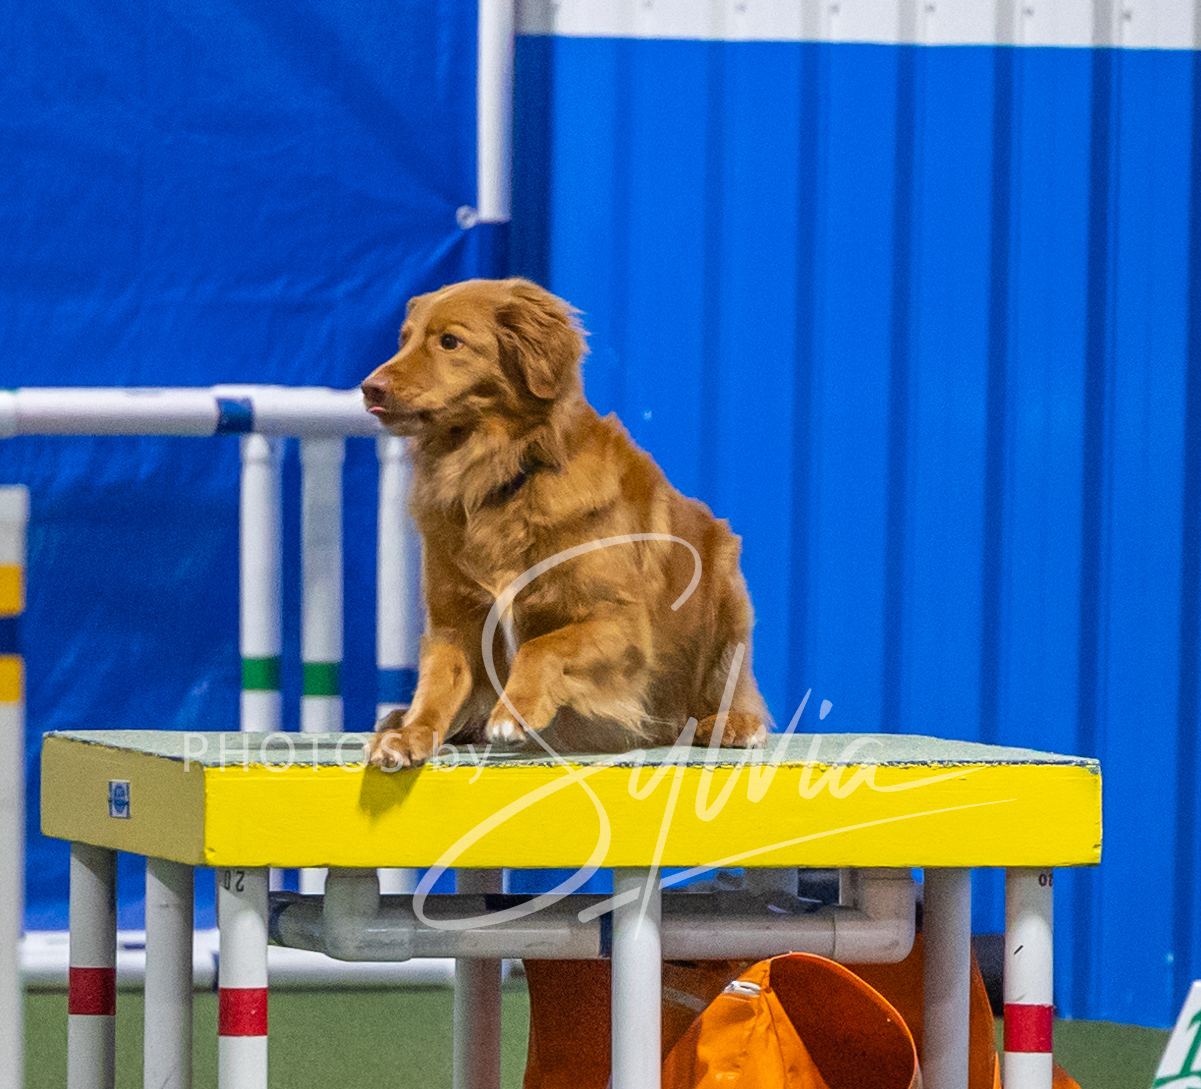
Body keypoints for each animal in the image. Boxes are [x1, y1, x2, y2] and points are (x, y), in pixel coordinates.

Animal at [361, 277, 768, 768]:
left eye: (449, 342)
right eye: (404, 339)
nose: (368, 388)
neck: (499, 476)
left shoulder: (623, 624)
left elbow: (542, 646)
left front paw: (514, 712)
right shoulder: (455, 619)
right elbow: (438, 684)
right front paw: (410, 734)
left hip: (725, 589)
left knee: (726, 689)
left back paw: (731, 723)